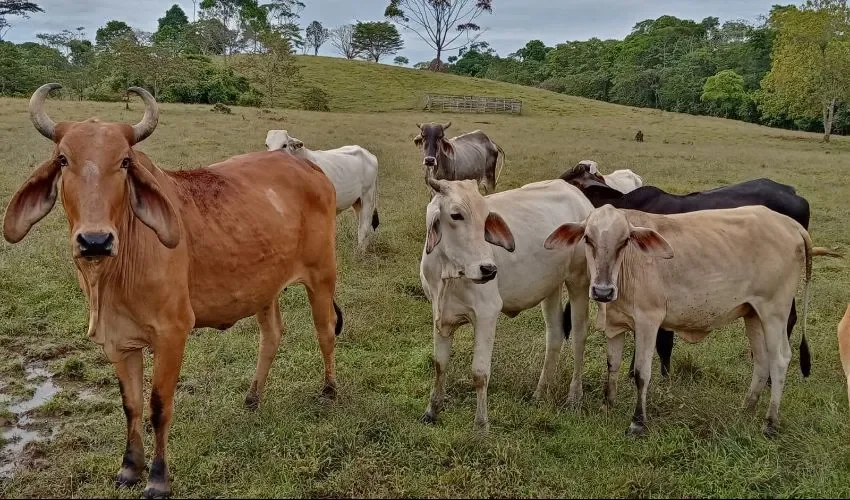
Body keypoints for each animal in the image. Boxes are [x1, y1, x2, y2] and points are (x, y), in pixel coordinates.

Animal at [4, 84, 342, 498]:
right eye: (63, 160)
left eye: (125, 162)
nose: (95, 240)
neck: (114, 276)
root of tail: (308, 166)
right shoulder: (119, 341)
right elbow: (131, 405)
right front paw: (129, 468)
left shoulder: (172, 333)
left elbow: (159, 405)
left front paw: (158, 477)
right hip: (265, 287)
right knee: (272, 335)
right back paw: (252, 397)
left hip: (323, 274)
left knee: (325, 332)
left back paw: (329, 390)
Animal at [420, 172, 592, 430]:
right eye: (455, 214)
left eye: (486, 217)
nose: (489, 269)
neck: (447, 273)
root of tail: (580, 197)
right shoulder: (439, 314)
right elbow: (440, 364)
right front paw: (432, 410)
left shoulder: (487, 313)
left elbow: (479, 373)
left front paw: (481, 425)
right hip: (551, 286)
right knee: (555, 335)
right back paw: (539, 393)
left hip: (579, 282)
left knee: (579, 338)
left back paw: (574, 397)